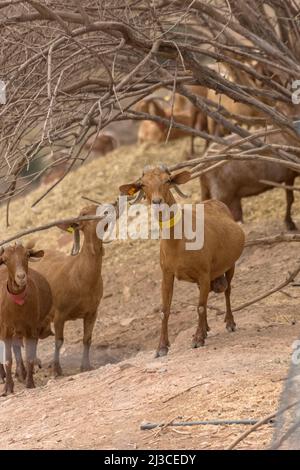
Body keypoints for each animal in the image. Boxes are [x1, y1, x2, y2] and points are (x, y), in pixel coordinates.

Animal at [0, 241, 52, 394]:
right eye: (5, 259)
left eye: (27, 255)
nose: (21, 277)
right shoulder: (5, 329)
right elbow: (7, 359)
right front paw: (7, 388)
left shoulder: (31, 328)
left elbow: (29, 357)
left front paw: (30, 383)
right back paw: (6, 376)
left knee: (18, 348)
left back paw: (21, 374)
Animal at [34, 204, 103, 376]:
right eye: (83, 214)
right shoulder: (59, 314)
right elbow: (59, 341)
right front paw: (56, 370)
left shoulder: (92, 312)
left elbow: (87, 339)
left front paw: (86, 366)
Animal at [118, 165, 245, 356]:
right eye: (142, 184)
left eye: (167, 180)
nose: (157, 201)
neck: (178, 241)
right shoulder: (167, 274)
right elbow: (165, 310)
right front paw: (162, 347)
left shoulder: (204, 273)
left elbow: (200, 306)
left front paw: (197, 340)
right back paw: (205, 329)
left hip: (230, 265)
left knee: (227, 290)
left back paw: (229, 323)